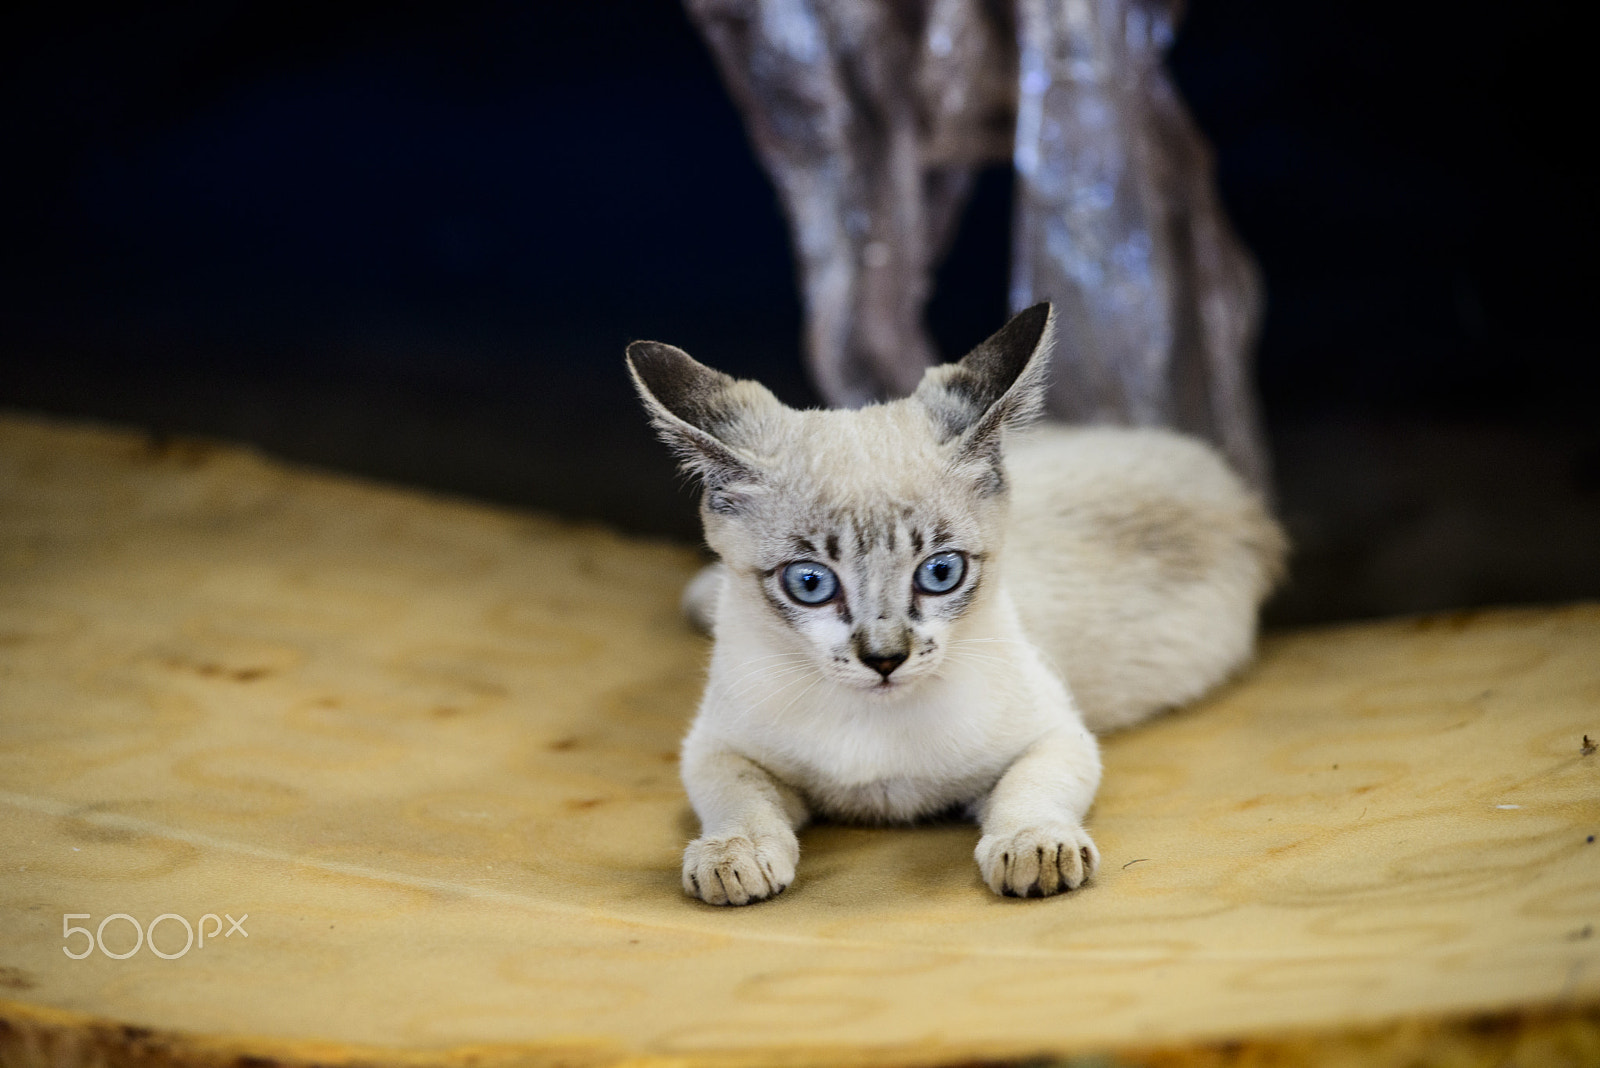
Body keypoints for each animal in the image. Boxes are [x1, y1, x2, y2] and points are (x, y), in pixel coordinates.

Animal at [627, 303, 1286, 908]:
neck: (875, 727)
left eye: (941, 573)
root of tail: (1244, 497)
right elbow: (739, 797)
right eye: (810, 583)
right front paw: (734, 854)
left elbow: (1030, 789)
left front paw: (1033, 846)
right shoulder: (715, 745)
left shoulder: (1056, 733)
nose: (885, 658)